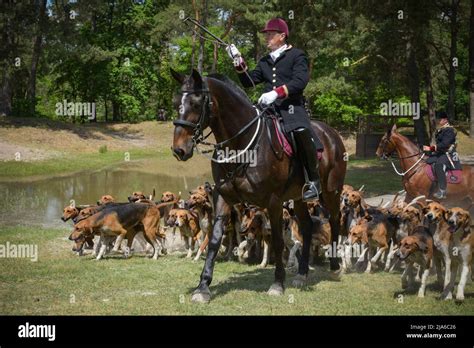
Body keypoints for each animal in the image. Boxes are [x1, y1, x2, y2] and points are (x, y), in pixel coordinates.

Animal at [171, 68, 348, 302]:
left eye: (196, 103)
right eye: (176, 103)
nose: (179, 150)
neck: (241, 144)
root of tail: (332, 133)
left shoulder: (273, 202)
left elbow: (278, 241)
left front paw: (278, 283)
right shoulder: (223, 197)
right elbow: (215, 240)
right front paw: (203, 287)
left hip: (331, 192)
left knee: (335, 219)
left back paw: (335, 266)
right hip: (299, 197)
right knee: (308, 225)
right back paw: (301, 274)